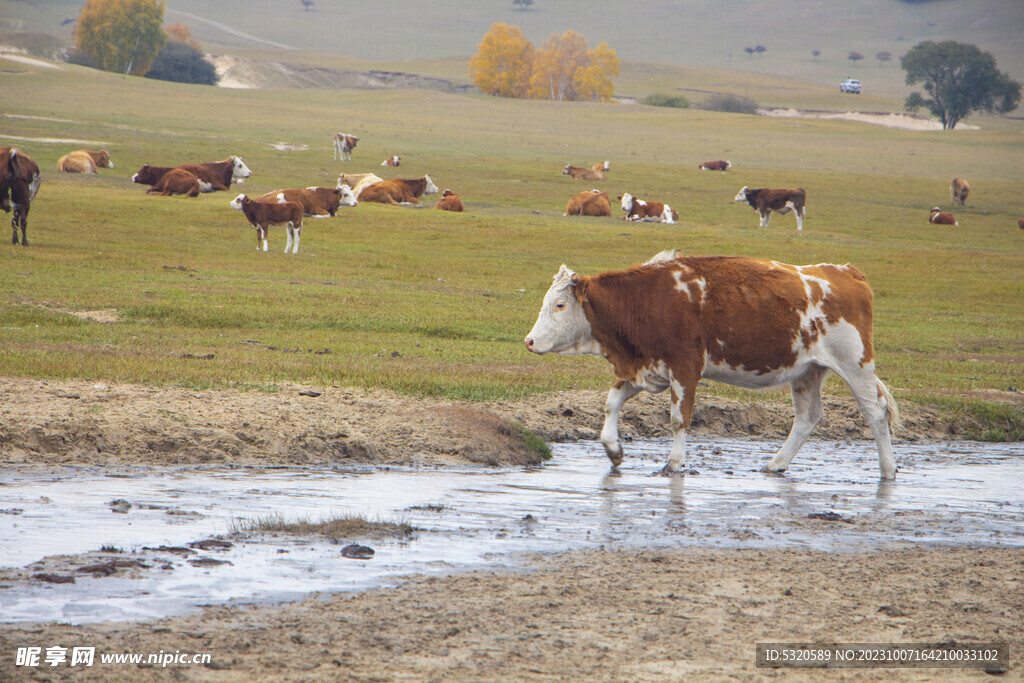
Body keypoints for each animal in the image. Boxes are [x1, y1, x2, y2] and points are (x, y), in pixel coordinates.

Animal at [524, 250, 901, 481]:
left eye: (560, 305)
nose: (529, 341)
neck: (648, 300)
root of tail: (845, 272)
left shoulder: (685, 368)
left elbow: (679, 419)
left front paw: (674, 463)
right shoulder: (647, 369)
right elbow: (611, 402)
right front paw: (614, 450)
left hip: (855, 364)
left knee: (875, 412)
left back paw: (888, 470)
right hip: (807, 371)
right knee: (808, 417)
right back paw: (775, 465)